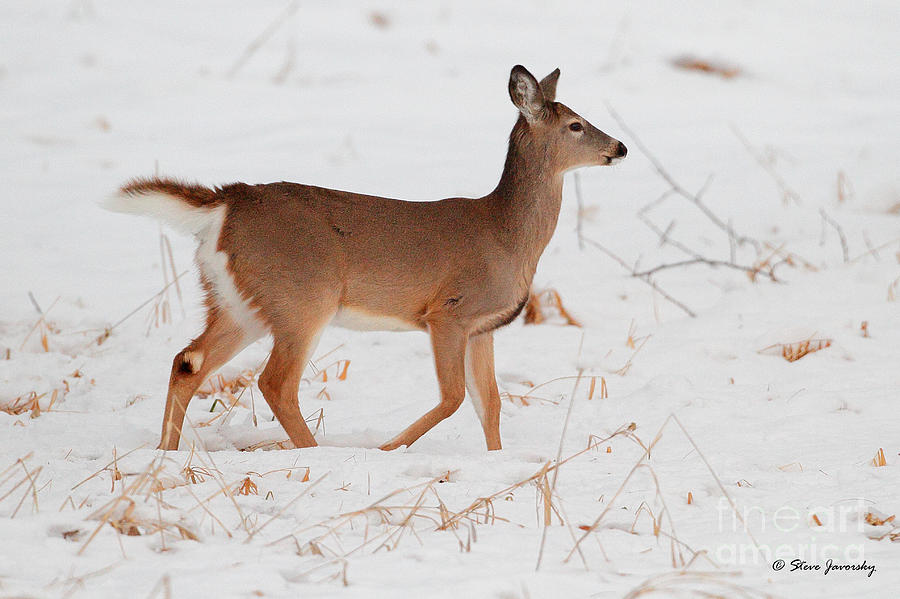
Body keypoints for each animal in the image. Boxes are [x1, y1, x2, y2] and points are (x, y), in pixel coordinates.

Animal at [105, 64, 624, 450]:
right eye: (576, 125)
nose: (619, 147)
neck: (506, 235)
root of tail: (225, 203)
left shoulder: (484, 327)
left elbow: (490, 404)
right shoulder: (448, 312)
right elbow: (455, 397)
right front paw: (388, 449)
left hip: (239, 300)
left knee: (187, 361)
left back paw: (165, 455)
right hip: (303, 296)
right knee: (275, 382)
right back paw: (315, 452)